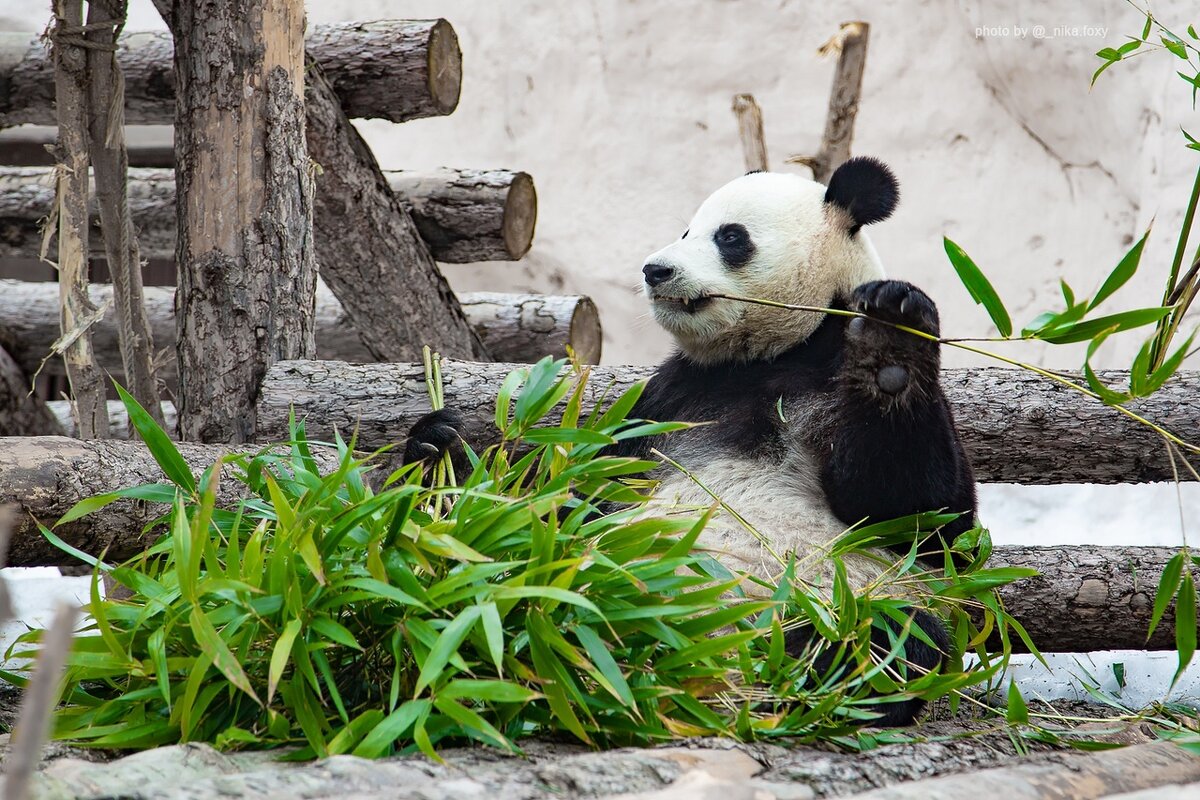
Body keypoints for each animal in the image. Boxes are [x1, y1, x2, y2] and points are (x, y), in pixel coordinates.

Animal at [403, 155, 974, 724]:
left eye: (730, 236)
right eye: (685, 231)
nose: (655, 270)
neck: (768, 355)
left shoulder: (825, 372)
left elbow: (922, 517)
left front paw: (891, 340)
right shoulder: (664, 404)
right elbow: (577, 488)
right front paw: (443, 452)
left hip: (831, 601)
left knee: (891, 637)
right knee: (529, 559)